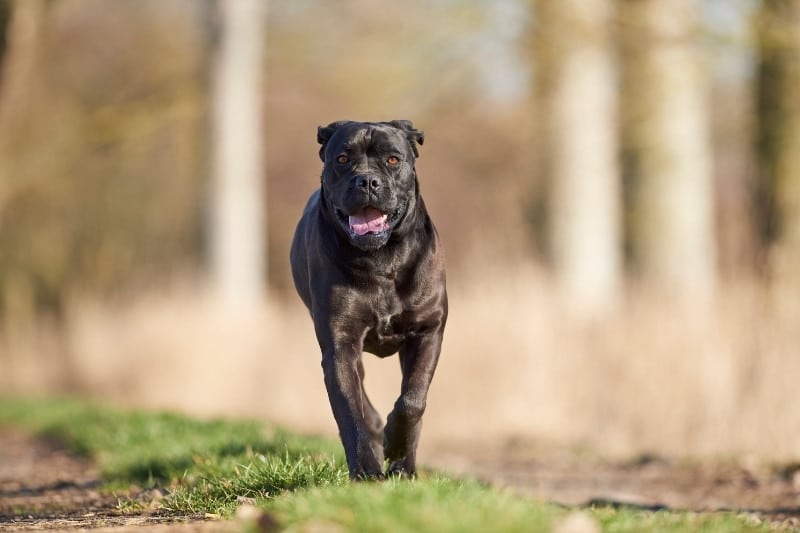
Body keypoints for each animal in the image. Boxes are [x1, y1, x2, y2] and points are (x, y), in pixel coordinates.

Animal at [290, 120, 446, 478]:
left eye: (393, 159)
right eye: (342, 159)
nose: (367, 181)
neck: (381, 260)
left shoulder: (428, 331)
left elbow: (413, 399)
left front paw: (396, 446)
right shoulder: (340, 344)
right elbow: (350, 411)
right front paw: (366, 472)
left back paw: (404, 465)